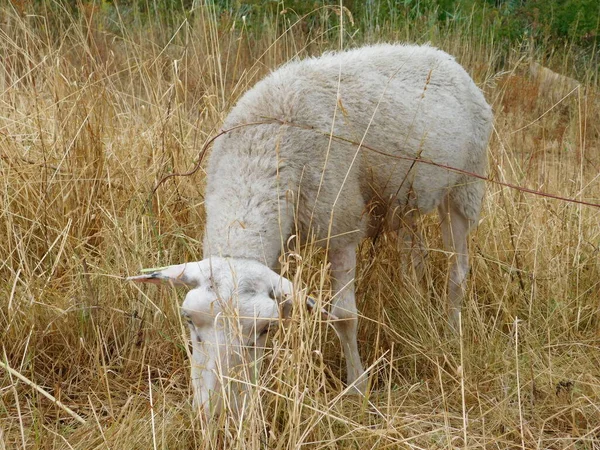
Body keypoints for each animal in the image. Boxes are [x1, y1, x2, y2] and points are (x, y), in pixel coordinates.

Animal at [130, 44, 492, 416]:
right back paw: (413, 298)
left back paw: (451, 331)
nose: (218, 412)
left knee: (458, 270)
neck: (262, 149)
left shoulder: (341, 225)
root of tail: (439, 55)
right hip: (407, 200)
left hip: (465, 187)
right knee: (413, 253)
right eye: (189, 320)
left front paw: (358, 388)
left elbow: (344, 317)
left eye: (263, 329)